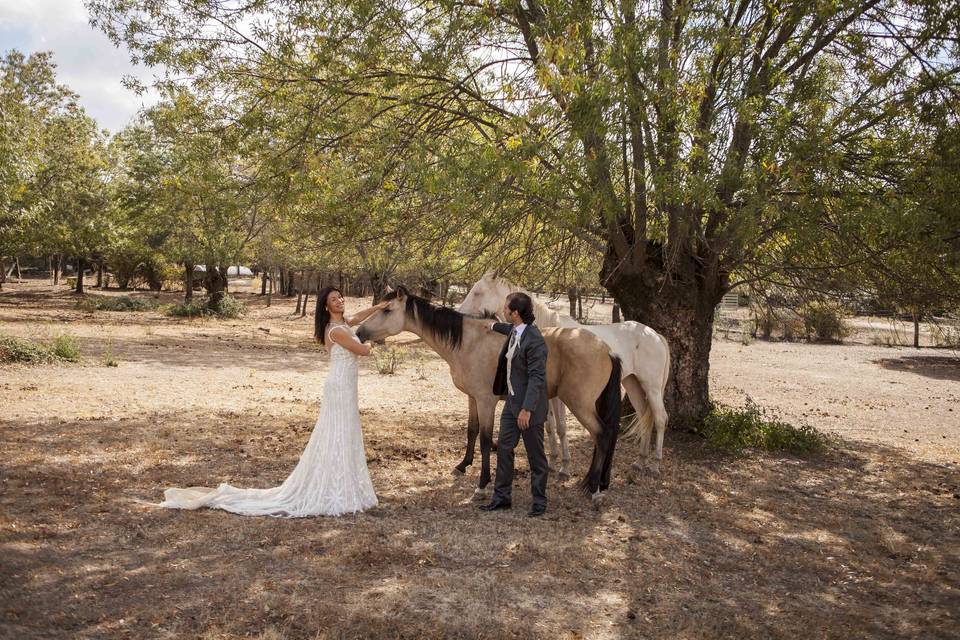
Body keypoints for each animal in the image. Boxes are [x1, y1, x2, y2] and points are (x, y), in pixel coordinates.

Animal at [354, 288, 624, 502]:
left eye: (387, 310)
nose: (359, 332)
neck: (469, 342)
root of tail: (607, 350)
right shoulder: (473, 399)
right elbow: (471, 431)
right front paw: (462, 465)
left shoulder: (486, 402)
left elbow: (485, 440)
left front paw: (482, 485)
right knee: (607, 436)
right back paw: (597, 483)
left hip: (580, 404)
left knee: (602, 435)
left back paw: (592, 488)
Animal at [460, 272, 672, 472]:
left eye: (478, 292)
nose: (460, 313)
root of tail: (654, 335)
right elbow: (549, 426)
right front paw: (553, 462)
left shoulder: (556, 396)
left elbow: (561, 427)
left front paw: (565, 466)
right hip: (632, 383)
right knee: (645, 416)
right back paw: (640, 461)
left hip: (651, 387)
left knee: (660, 418)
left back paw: (655, 465)